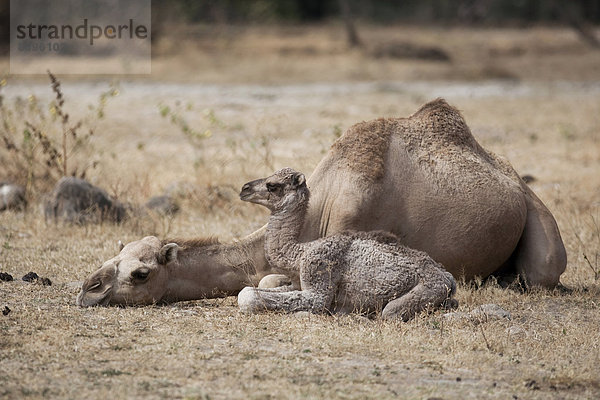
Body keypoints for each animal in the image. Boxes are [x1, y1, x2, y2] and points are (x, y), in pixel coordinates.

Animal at [237, 167, 458, 320]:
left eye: (272, 186)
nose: (244, 189)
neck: (298, 255)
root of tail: (449, 279)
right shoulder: (297, 283)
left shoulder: (318, 271)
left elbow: (248, 295)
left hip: (429, 288)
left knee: (390, 312)